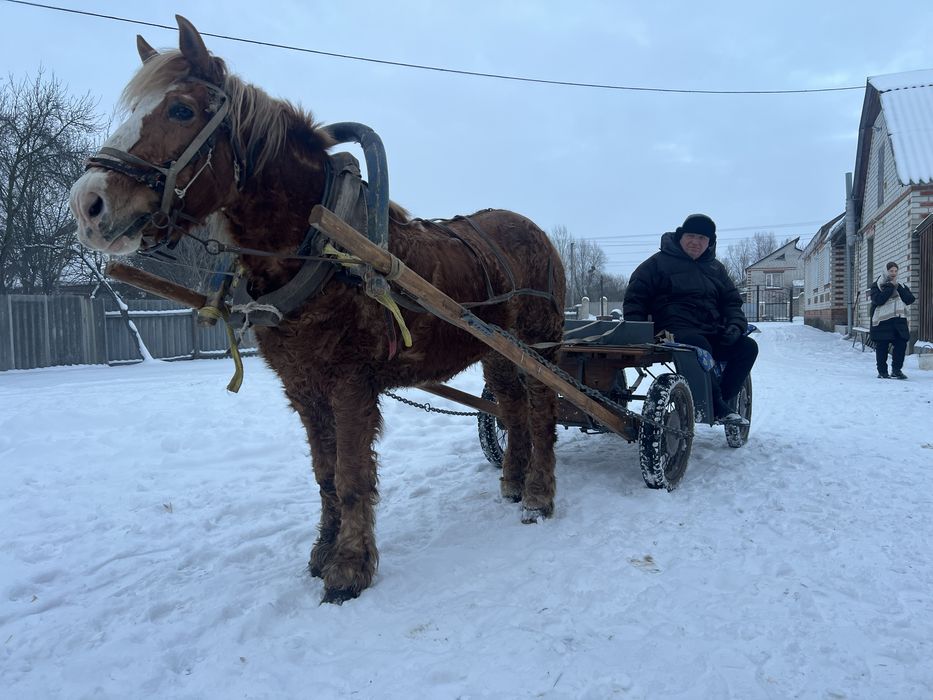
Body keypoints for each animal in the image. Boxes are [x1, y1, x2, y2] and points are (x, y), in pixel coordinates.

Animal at [69, 16, 566, 603]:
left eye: (182, 111)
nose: (87, 204)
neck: (320, 247)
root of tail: (536, 231)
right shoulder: (302, 385)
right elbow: (325, 473)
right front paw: (323, 551)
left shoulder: (349, 382)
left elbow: (351, 476)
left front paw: (350, 567)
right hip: (495, 349)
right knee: (511, 407)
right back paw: (513, 481)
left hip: (538, 344)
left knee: (541, 409)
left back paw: (539, 494)